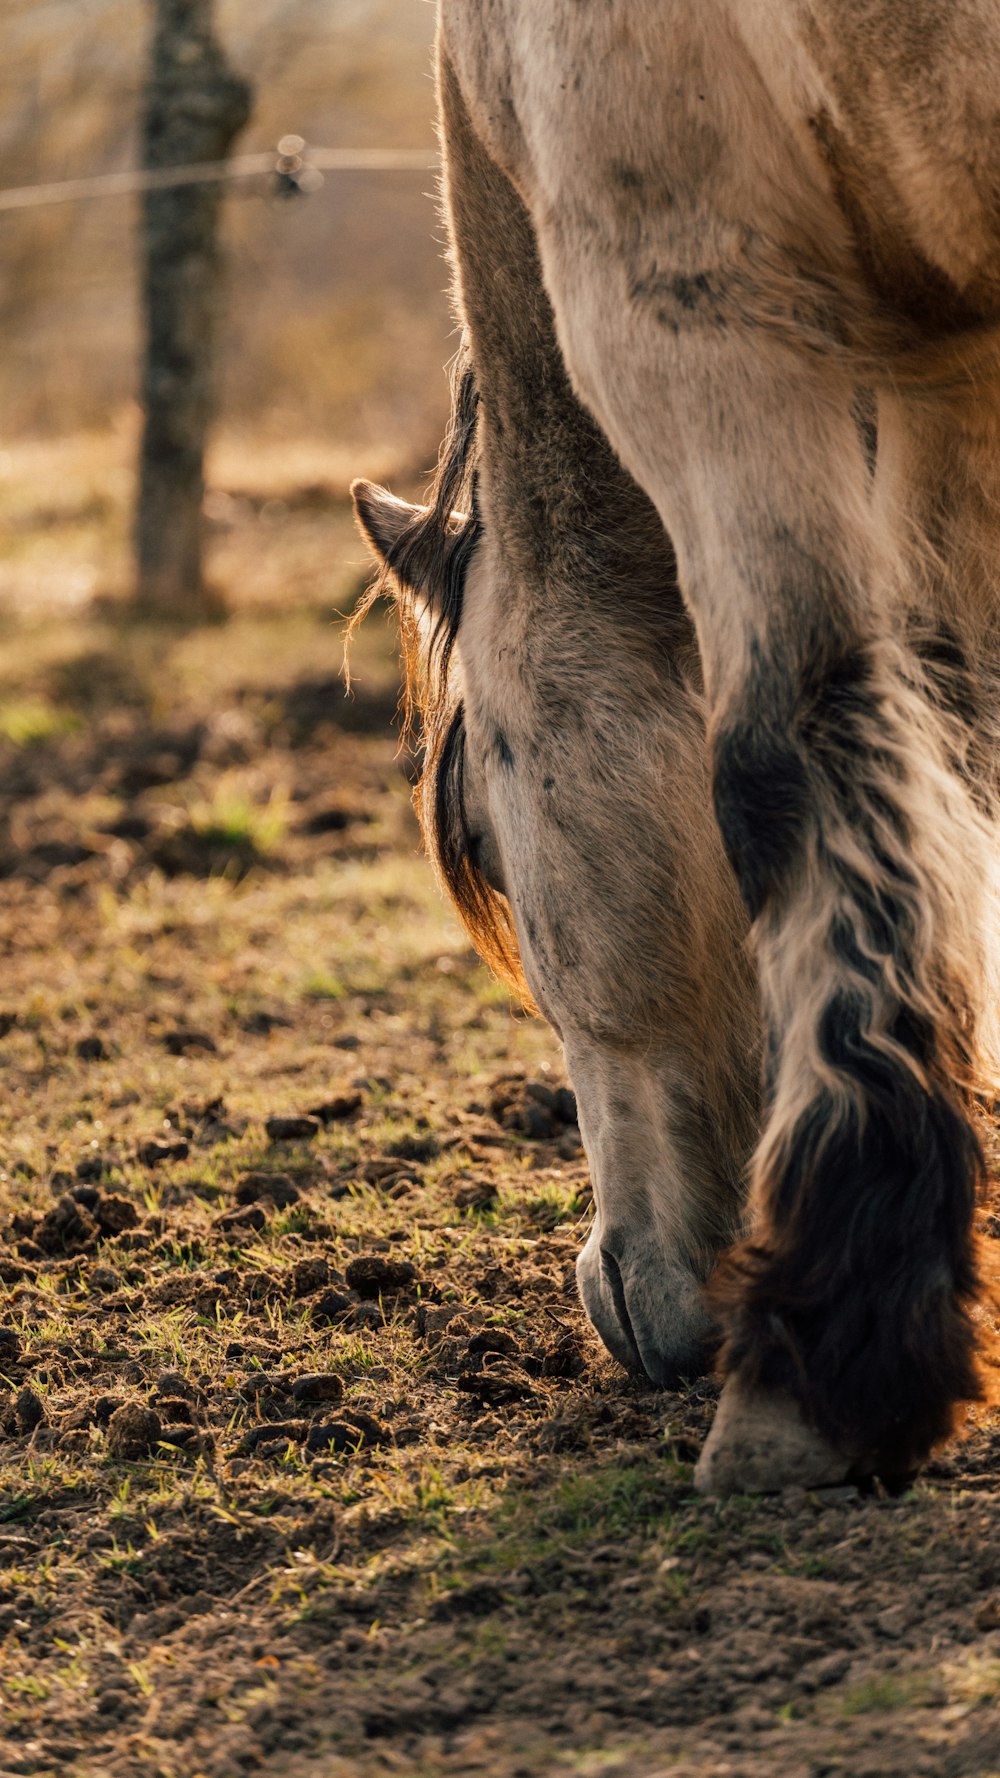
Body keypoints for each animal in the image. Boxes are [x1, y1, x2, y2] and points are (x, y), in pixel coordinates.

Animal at [346, 0, 996, 1493]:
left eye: (486, 843)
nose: (617, 1290)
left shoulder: (686, 296)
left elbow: (789, 749)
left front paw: (819, 1374)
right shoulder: (948, 359)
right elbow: (957, 733)